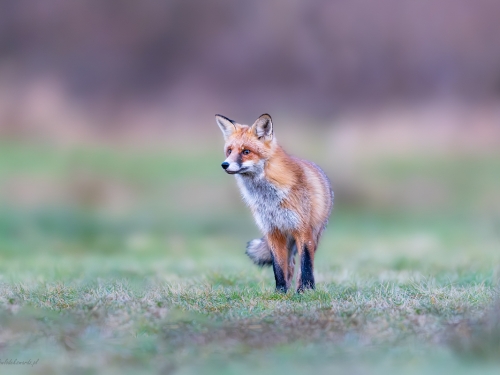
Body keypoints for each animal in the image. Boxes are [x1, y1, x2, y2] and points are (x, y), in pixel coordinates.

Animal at [214, 114, 332, 294]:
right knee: (290, 265)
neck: (269, 198)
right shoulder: (272, 231)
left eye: (246, 152)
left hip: (313, 235)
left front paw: (306, 291)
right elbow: (278, 267)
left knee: (303, 265)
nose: (224, 164)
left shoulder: (302, 229)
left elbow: (306, 266)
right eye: (229, 151)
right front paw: (280, 292)